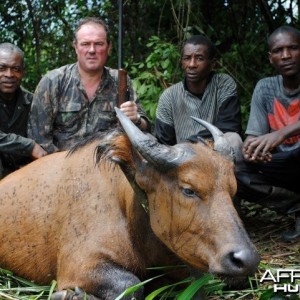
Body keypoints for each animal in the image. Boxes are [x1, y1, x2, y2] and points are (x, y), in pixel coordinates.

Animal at [0, 108, 258, 300]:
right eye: (188, 189)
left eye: (232, 190)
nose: (246, 259)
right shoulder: (79, 266)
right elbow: (130, 285)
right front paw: (68, 295)